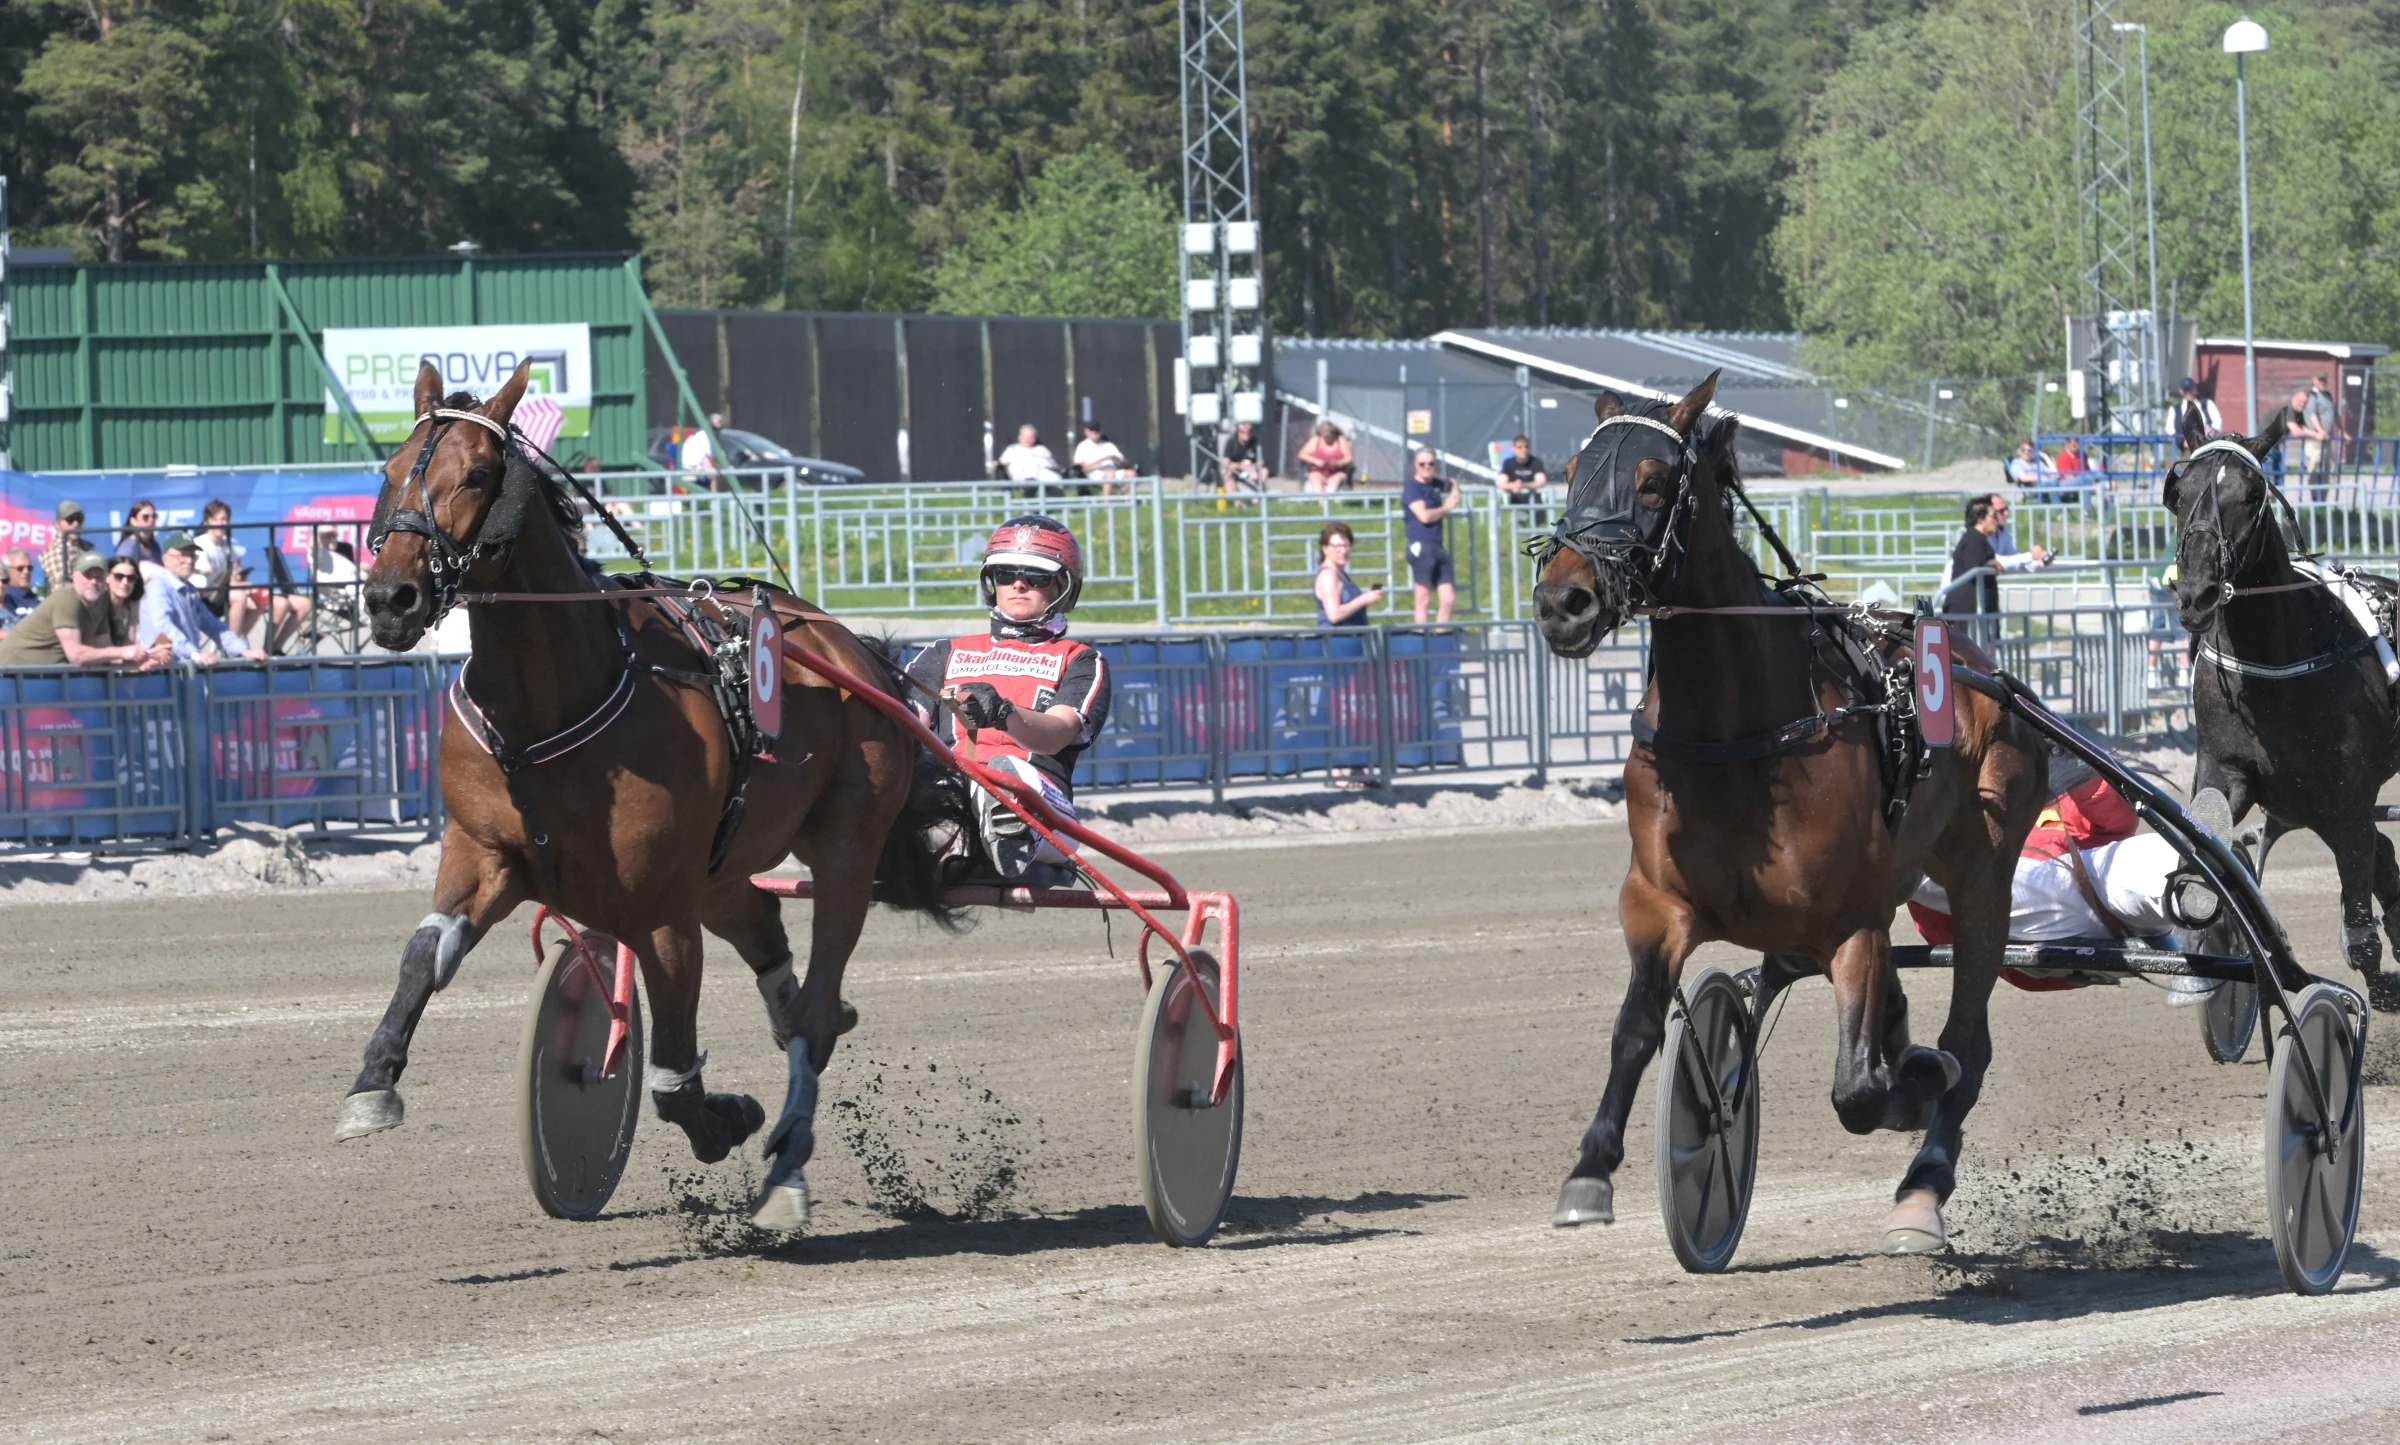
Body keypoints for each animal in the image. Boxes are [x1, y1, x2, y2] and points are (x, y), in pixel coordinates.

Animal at [331, 355, 964, 1219]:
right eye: (391, 470)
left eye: (480, 475)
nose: (390, 599)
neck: (550, 704)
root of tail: (851, 646)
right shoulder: (483, 853)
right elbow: (424, 956)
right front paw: (372, 1083)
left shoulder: (661, 910)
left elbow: (670, 1074)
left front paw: (722, 1119)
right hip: (722, 868)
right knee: (772, 944)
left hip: (844, 848)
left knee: (816, 1006)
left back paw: (788, 1165)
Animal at [1526, 374, 2035, 1248]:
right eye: (1568, 471)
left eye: (1653, 481)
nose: (1564, 599)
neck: (1736, 729)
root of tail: (1981, 667)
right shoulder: (1657, 902)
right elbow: (1637, 1027)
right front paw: (1591, 1168)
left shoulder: (1850, 920)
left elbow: (1860, 1090)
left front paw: (1914, 1082)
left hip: (1982, 877)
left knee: (1967, 1039)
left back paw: (1925, 1177)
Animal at [2160, 398, 2400, 1008]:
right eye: (2180, 489)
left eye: (2250, 494)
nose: (2195, 594)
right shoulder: (2226, 771)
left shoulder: (2345, 803)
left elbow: (2360, 937)